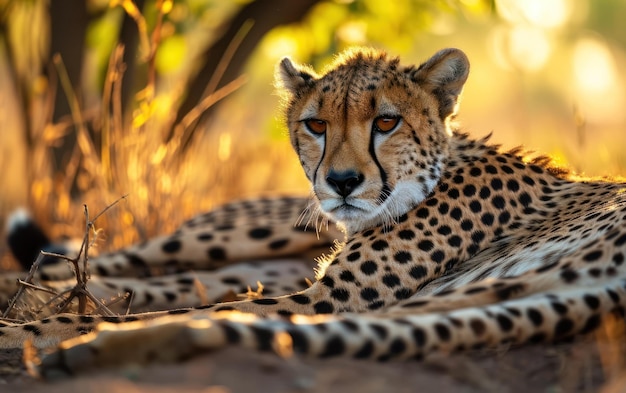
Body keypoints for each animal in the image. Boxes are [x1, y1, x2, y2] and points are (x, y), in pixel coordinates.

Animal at [3, 49, 624, 376]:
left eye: (387, 121)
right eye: (317, 124)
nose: (343, 183)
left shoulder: (328, 297)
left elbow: (128, 314)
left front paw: (37, 332)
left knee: (176, 301)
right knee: (129, 273)